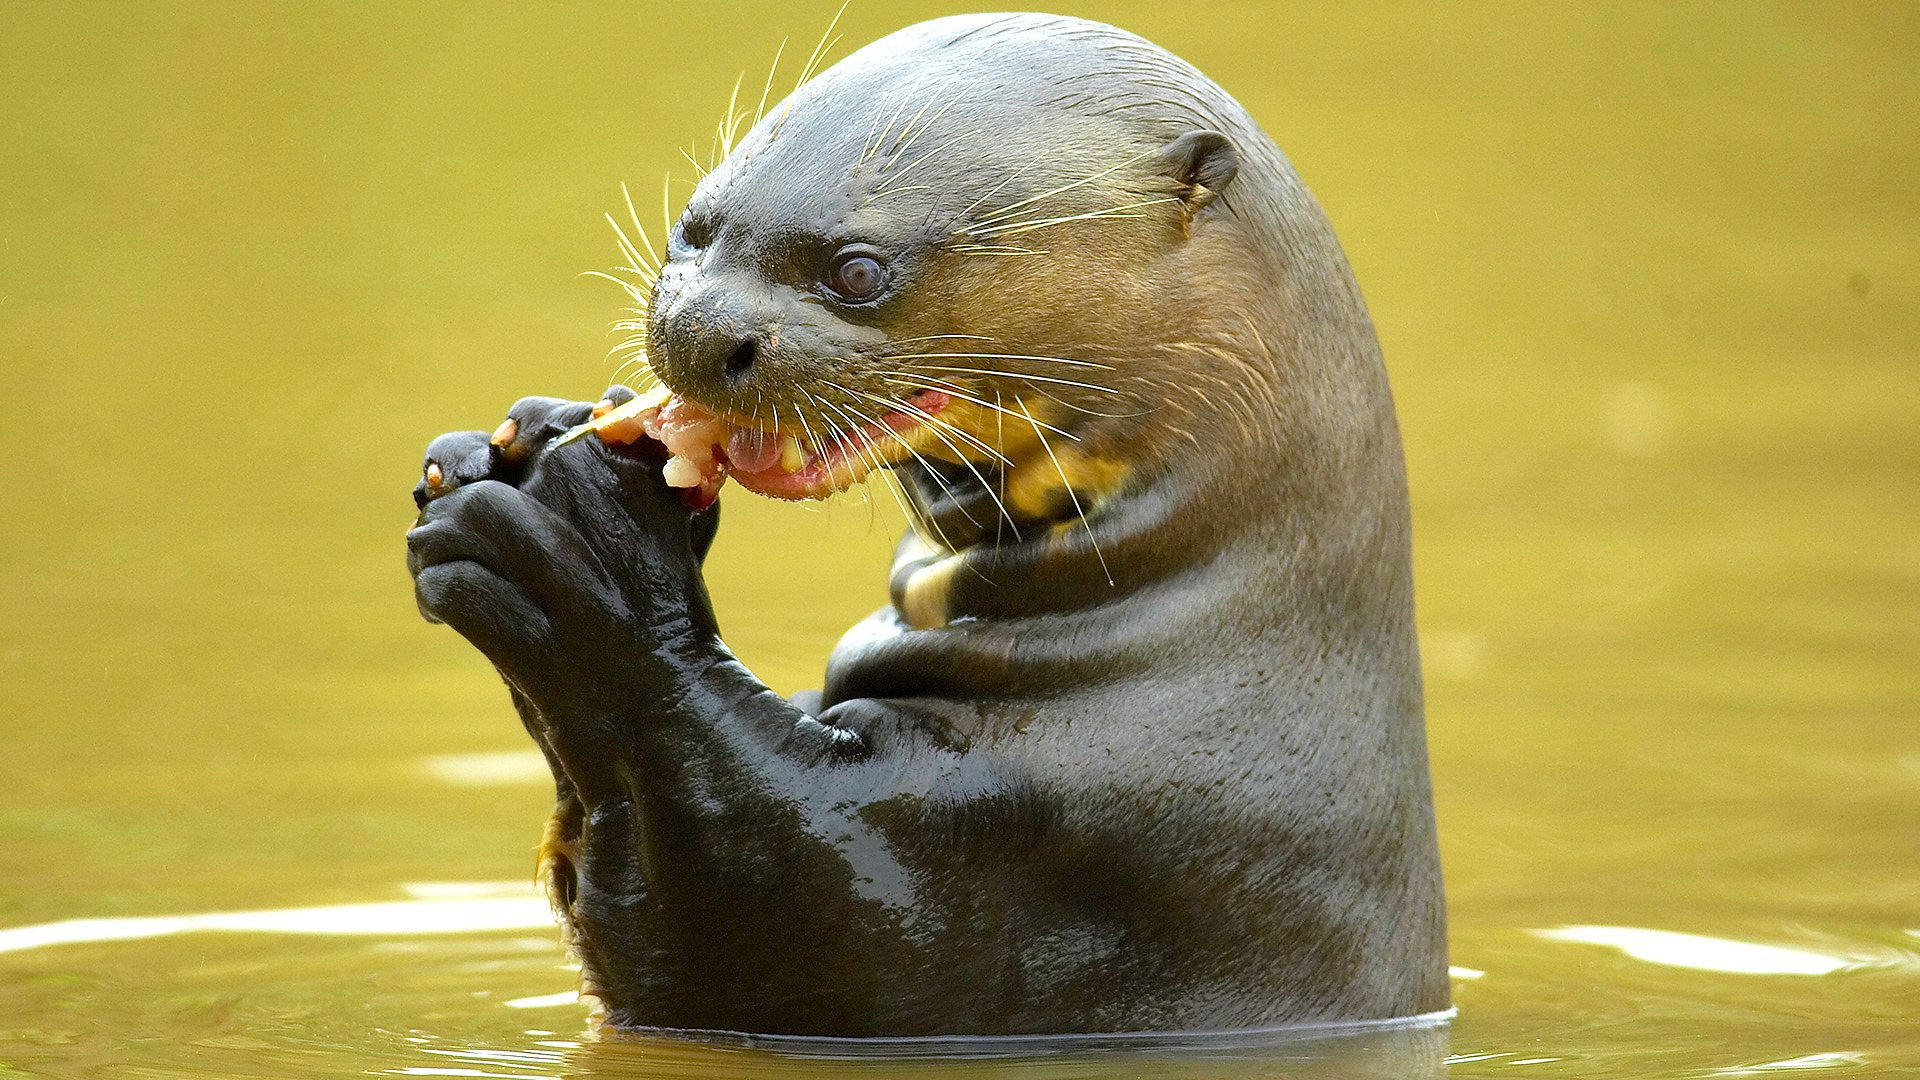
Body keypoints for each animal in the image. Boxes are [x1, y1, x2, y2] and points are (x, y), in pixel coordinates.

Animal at [406, 13, 1447, 1039]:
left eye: (858, 270)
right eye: (691, 233)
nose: (698, 333)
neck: (1195, 644)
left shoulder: (1078, 836)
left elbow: (754, 923)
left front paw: (583, 545)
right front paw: (516, 440)